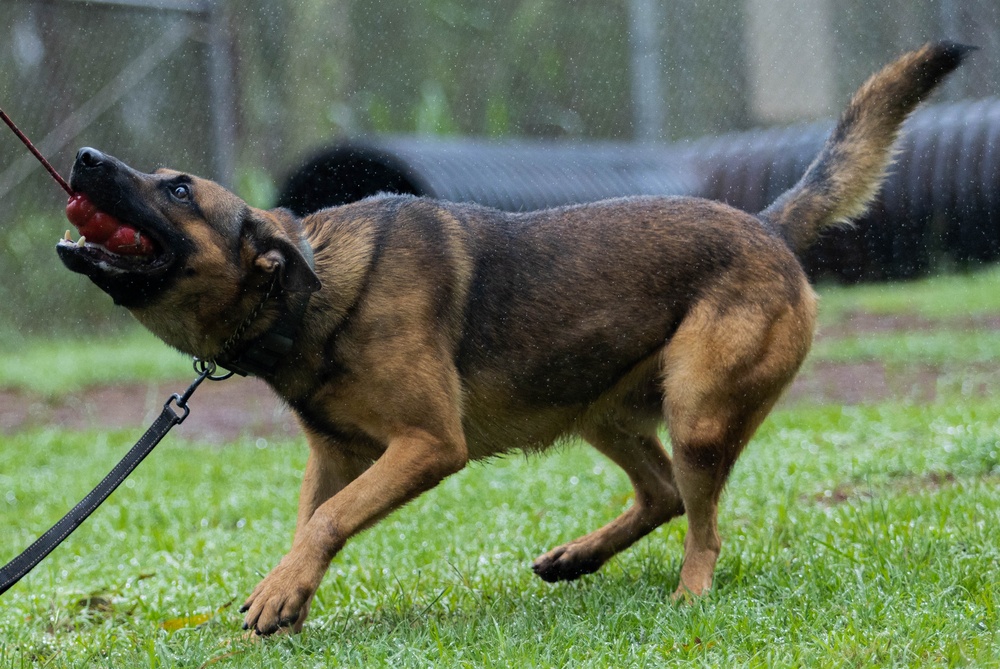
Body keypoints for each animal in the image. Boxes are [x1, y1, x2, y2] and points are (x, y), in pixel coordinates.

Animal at [54, 41, 968, 632]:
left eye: (177, 188)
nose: (86, 157)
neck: (309, 294)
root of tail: (769, 225)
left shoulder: (427, 444)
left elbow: (327, 520)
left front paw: (284, 593)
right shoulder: (338, 454)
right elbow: (312, 521)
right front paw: (287, 591)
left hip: (699, 410)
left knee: (702, 520)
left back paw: (688, 598)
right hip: (602, 408)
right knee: (664, 493)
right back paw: (577, 558)